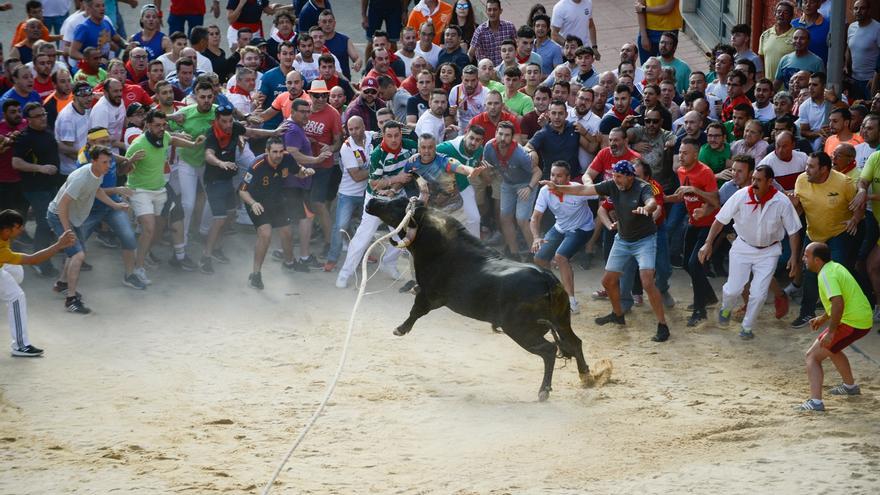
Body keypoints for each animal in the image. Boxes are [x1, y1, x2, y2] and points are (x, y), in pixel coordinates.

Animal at [364, 196, 600, 402]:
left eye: (396, 206)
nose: (372, 201)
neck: (440, 246)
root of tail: (546, 279)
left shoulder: (429, 295)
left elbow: (415, 311)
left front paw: (400, 329)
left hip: (520, 330)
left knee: (550, 350)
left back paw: (544, 391)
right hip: (561, 321)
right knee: (575, 342)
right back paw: (586, 376)